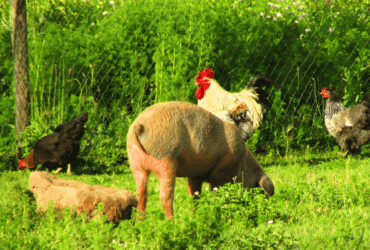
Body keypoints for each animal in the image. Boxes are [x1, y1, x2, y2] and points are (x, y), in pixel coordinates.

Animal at [127, 100, 274, 218]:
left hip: (136, 163)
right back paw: (172, 221)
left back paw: (140, 221)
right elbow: (217, 192)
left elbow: (194, 196)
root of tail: (140, 126)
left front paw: (194, 216)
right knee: (165, 196)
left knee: (141, 194)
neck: (241, 163)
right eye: (260, 191)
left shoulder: (195, 174)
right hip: (166, 158)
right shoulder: (221, 172)